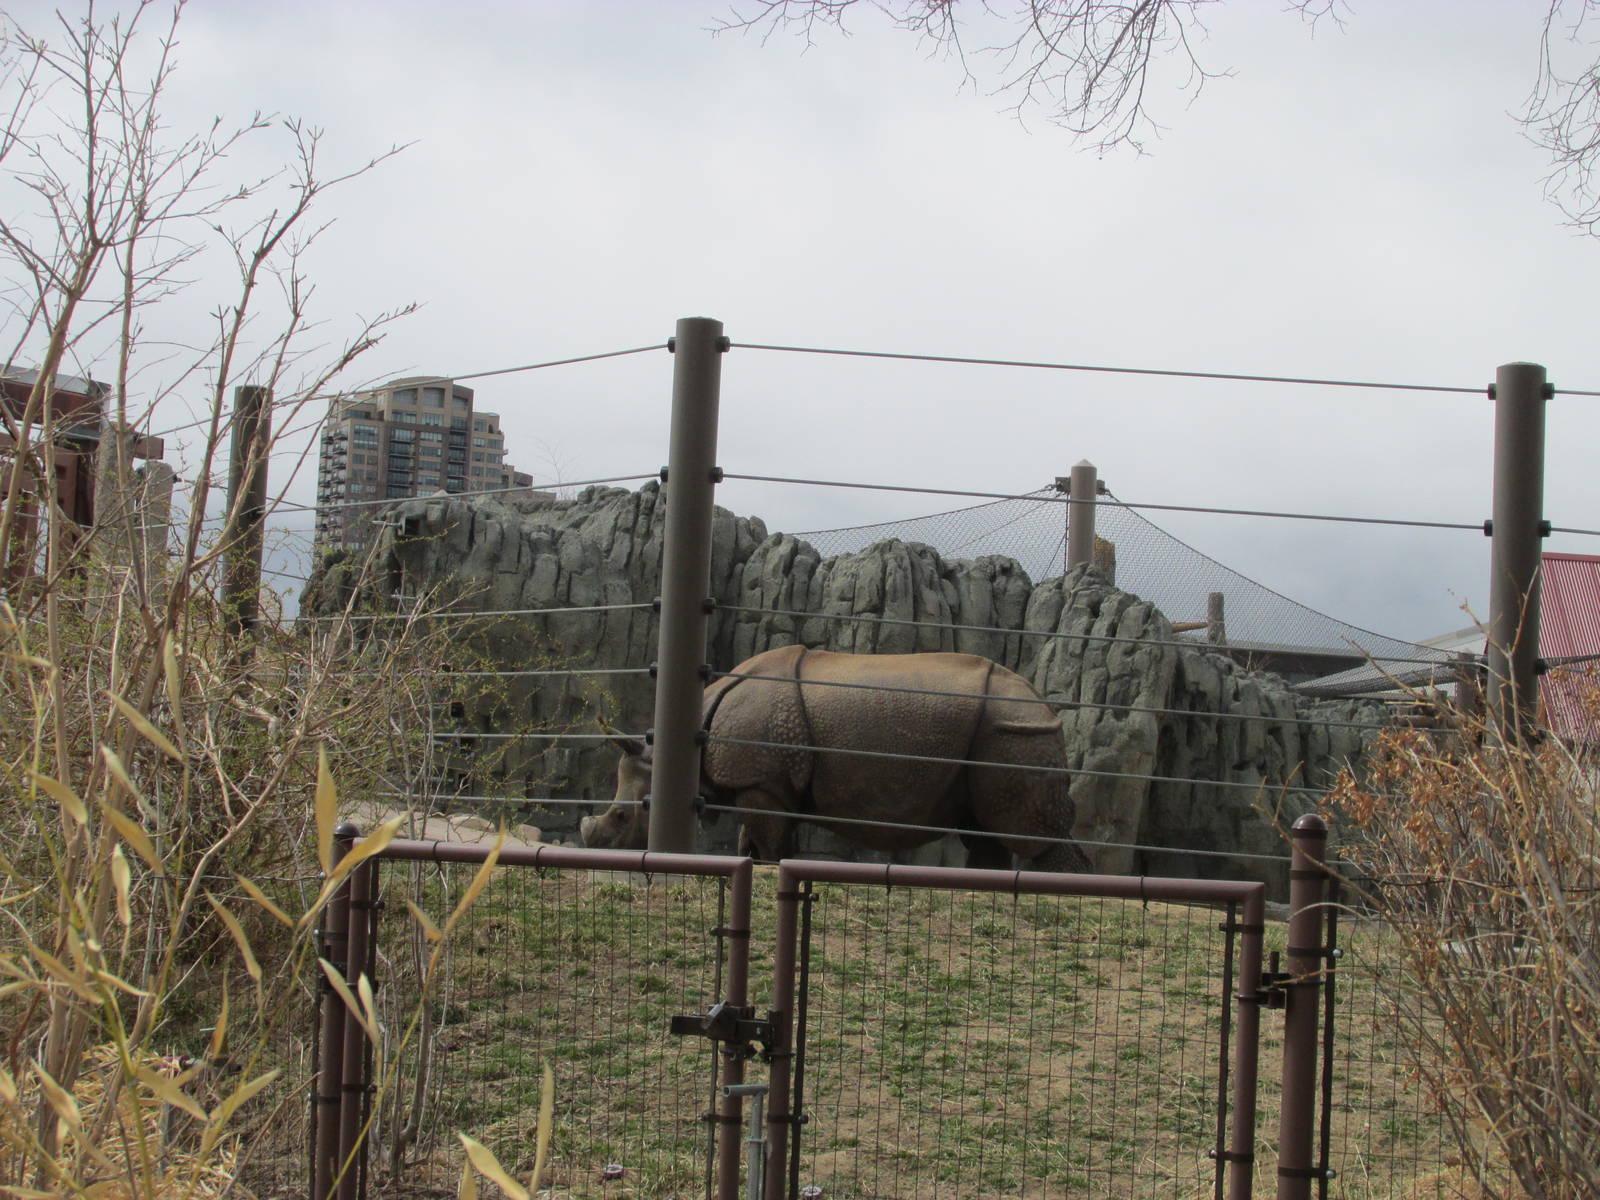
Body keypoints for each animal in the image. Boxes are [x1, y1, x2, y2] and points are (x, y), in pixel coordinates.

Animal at [579, 645, 1092, 871]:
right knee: (983, 829)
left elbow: (768, 843)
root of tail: (1042, 702)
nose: (598, 849)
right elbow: (755, 841)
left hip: (1011, 733)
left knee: (1023, 830)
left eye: (624, 816)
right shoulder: (766, 783)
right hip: (998, 732)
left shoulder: (761, 781)